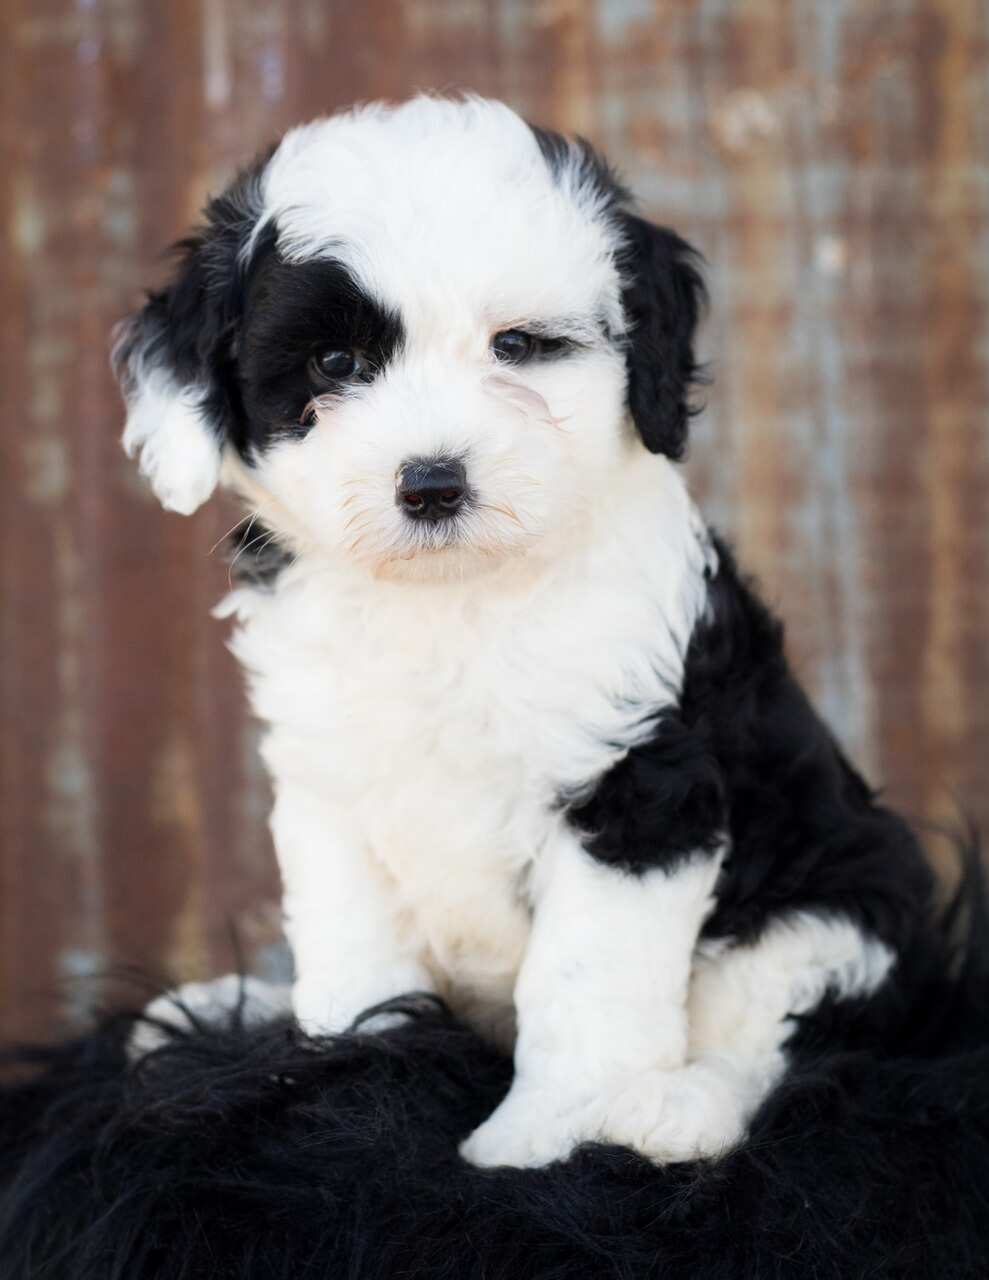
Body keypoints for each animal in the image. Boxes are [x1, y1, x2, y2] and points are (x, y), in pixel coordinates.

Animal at [115, 97, 931, 1172]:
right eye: (334, 364)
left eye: (520, 347)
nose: (431, 484)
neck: (454, 597)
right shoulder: (328, 787)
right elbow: (354, 955)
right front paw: (344, 1073)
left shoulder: (637, 788)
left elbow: (585, 980)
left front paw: (543, 1140)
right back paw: (228, 1006)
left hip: (839, 899)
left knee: (775, 1036)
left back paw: (674, 1109)